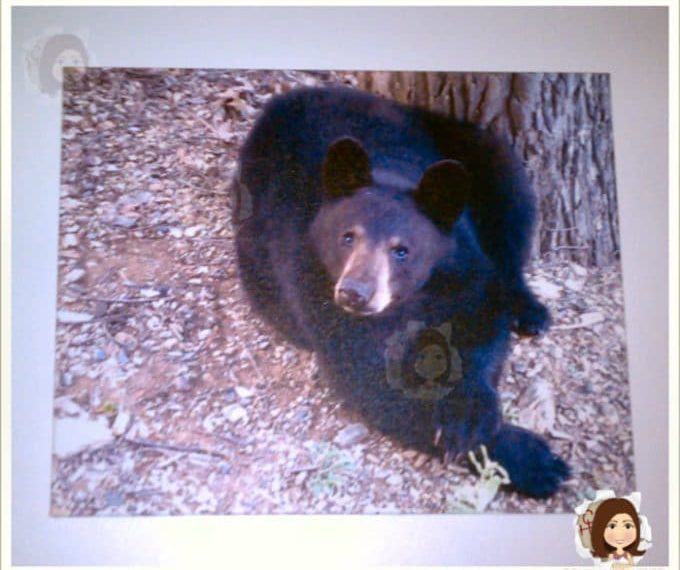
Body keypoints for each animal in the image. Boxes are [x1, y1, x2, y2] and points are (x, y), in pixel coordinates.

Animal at [234, 85, 569, 499]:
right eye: (347, 237)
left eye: (402, 250)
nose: (354, 293)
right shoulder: (310, 281)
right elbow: (372, 380)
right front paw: (533, 460)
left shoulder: (459, 258)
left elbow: (483, 314)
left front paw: (472, 411)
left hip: (478, 150)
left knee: (512, 209)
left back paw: (530, 309)